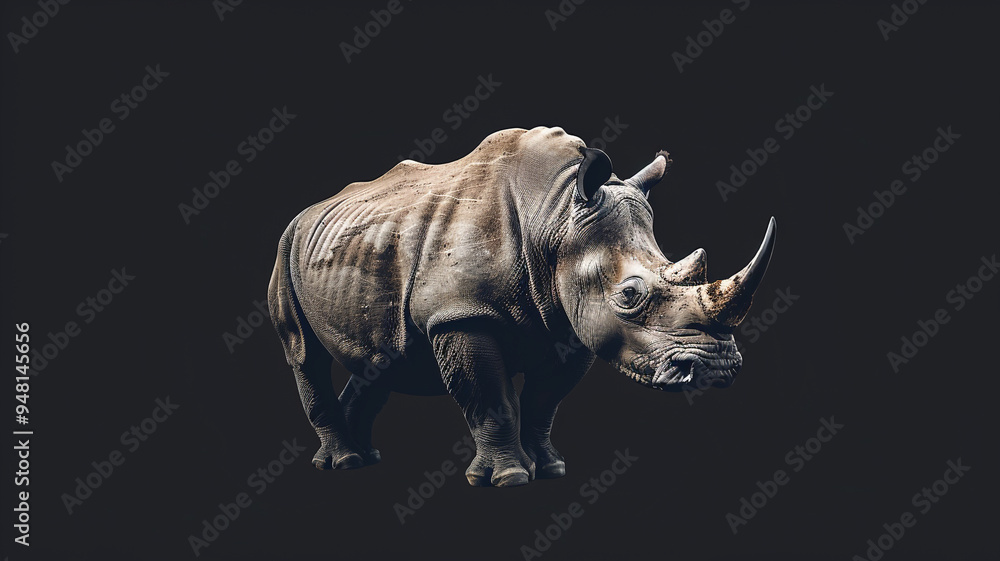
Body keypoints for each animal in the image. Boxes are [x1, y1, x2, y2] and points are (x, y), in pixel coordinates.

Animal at [268, 126, 776, 487]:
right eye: (630, 296)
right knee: (304, 353)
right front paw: (507, 479)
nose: (717, 368)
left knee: (380, 359)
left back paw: (363, 458)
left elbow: (543, 403)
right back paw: (344, 462)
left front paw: (550, 469)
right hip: (286, 246)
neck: (554, 216)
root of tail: (308, 212)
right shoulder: (460, 314)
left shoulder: (570, 326)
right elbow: (491, 398)